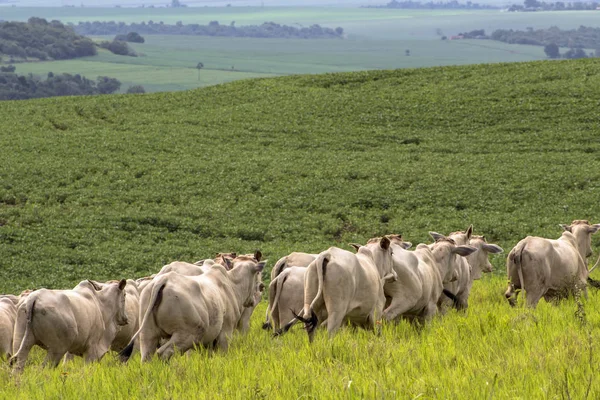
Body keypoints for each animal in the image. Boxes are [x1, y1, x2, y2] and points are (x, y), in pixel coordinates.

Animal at [118, 256, 264, 362]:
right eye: (257, 273)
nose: (261, 287)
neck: (232, 284)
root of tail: (163, 280)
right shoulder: (225, 334)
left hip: (147, 335)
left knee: (147, 357)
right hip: (187, 334)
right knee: (164, 353)